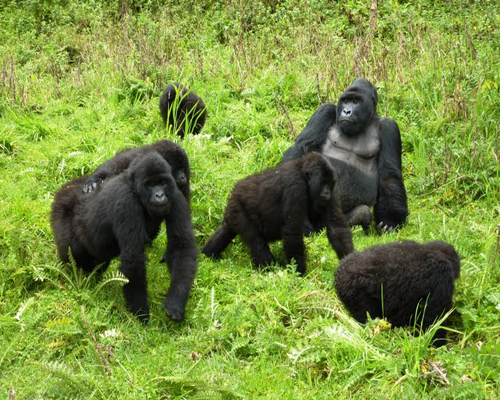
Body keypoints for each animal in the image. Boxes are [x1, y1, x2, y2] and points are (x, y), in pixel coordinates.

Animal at [51, 152, 197, 324]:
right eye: (150, 184)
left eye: (162, 182)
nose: (159, 195)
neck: (136, 190)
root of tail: (68, 186)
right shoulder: (126, 202)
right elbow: (133, 259)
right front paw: (140, 315)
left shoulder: (175, 194)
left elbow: (182, 247)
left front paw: (176, 302)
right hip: (61, 210)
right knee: (72, 253)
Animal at [201, 152, 354, 276]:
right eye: (323, 182)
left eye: (330, 183)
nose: (327, 193)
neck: (304, 175)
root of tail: (233, 191)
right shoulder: (295, 185)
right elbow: (293, 232)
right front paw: (299, 273)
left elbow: (336, 228)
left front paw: (349, 262)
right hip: (238, 205)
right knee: (256, 241)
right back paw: (269, 269)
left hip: (232, 210)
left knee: (226, 230)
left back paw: (208, 255)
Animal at [282, 79, 406, 231]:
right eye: (346, 101)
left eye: (356, 101)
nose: (346, 111)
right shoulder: (326, 110)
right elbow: (301, 149)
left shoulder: (390, 127)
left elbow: (389, 175)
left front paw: (391, 219)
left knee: (361, 213)